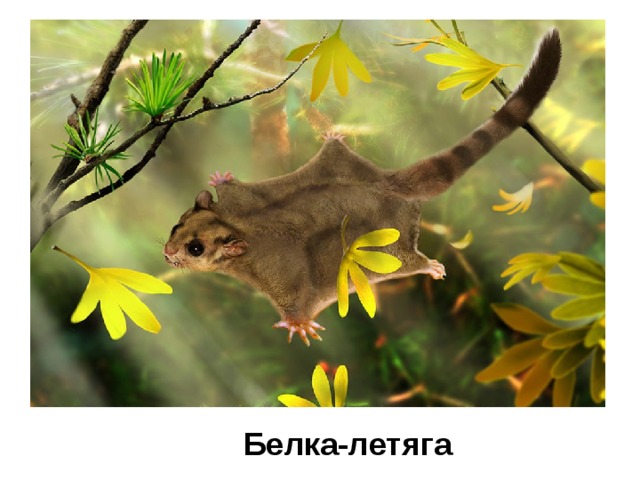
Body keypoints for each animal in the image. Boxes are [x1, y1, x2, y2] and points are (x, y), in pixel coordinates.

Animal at [163, 29, 562, 346]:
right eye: (175, 227)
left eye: (196, 249)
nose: (167, 253)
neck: (235, 225)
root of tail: (387, 184)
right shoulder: (242, 198)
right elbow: (233, 188)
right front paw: (220, 181)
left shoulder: (280, 276)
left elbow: (299, 300)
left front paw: (298, 324)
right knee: (336, 151)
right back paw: (334, 138)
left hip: (391, 250)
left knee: (408, 261)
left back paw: (428, 265)